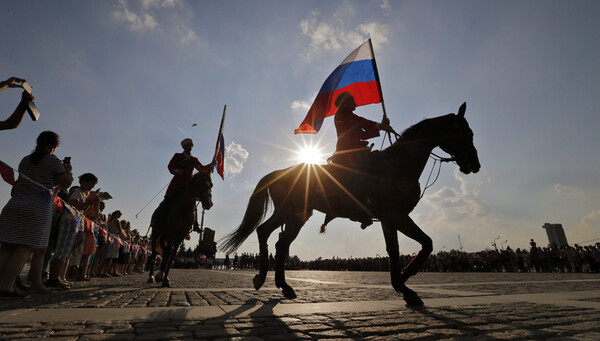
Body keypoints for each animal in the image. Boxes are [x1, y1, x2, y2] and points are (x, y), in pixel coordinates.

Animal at [223, 103, 480, 306]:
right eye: (465, 133)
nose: (475, 164)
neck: (398, 165)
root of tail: (278, 172)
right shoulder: (394, 216)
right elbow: (417, 245)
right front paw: (405, 282)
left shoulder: (391, 219)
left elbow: (406, 247)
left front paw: (404, 281)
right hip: (292, 213)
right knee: (269, 235)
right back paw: (267, 280)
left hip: (296, 215)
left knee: (276, 240)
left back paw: (279, 285)